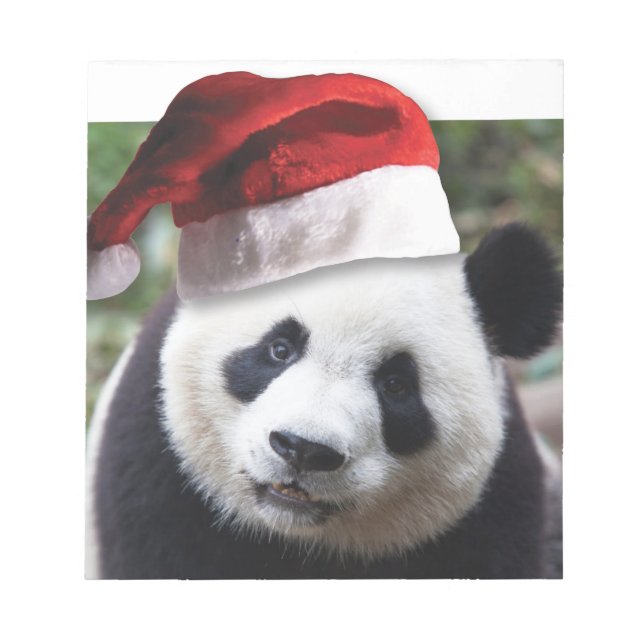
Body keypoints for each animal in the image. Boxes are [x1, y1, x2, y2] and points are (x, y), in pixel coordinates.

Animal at [85, 223, 562, 580]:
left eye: (396, 385)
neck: (294, 538)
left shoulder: (494, 508)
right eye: (280, 349)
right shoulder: (156, 464)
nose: (303, 449)